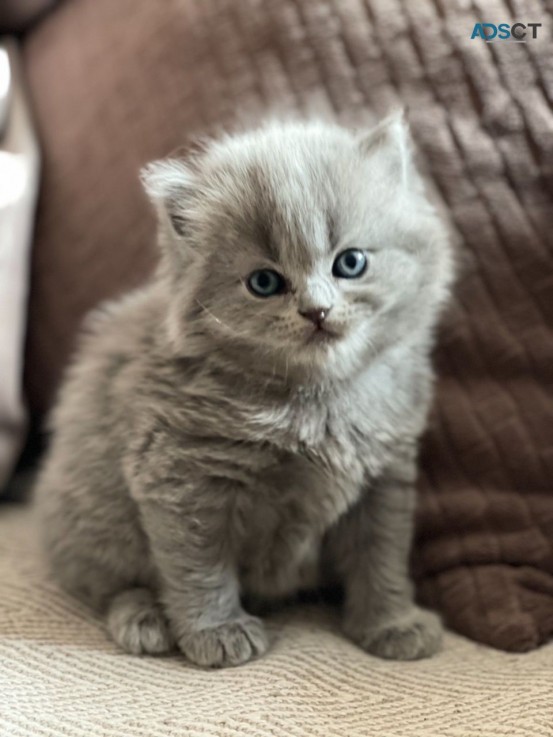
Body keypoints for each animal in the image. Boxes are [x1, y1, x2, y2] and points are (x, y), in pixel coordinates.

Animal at [36, 115, 454, 668]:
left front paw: (391, 623)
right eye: (264, 282)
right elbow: (199, 565)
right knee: (104, 584)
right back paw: (143, 619)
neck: (318, 400)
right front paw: (218, 632)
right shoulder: (181, 475)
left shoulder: (384, 478)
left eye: (351, 263)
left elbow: (379, 557)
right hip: (93, 514)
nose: (317, 311)